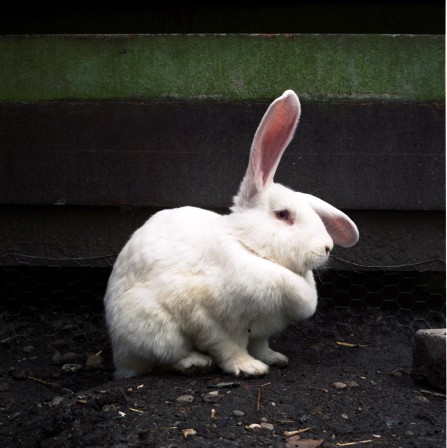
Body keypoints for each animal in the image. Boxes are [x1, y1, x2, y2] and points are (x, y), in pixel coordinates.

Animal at [103, 88, 358, 378]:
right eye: (283, 215)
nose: (327, 247)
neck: (248, 247)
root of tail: (121, 361)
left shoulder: (261, 330)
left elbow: (260, 345)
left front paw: (274, 358)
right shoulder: (212, 320)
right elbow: (229, 347)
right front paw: (250, 367)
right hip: (156, 329)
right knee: (164, 358)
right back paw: (194, 362)